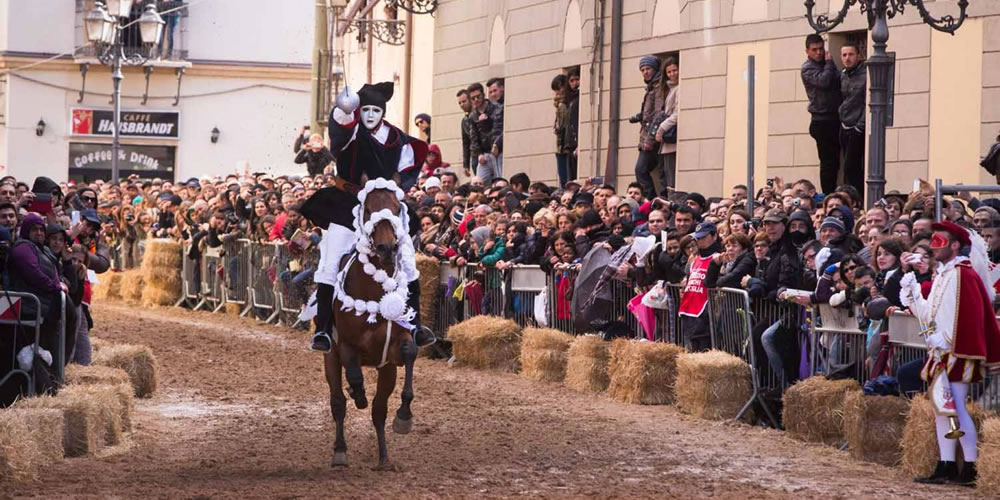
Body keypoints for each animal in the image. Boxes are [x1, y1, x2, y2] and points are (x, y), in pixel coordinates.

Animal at [326, 184, 420, 468]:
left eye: (398, 208)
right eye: (367, 209)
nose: (387, 248)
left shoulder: (394, 350)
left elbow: (410, 353)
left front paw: (404, 416)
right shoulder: (346, 346)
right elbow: (354, 376)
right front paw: (357, 393)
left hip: (386, 370)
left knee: (379, 410)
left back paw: (384, 458)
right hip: (329, 358)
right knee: (338, 403)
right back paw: (340, 452)